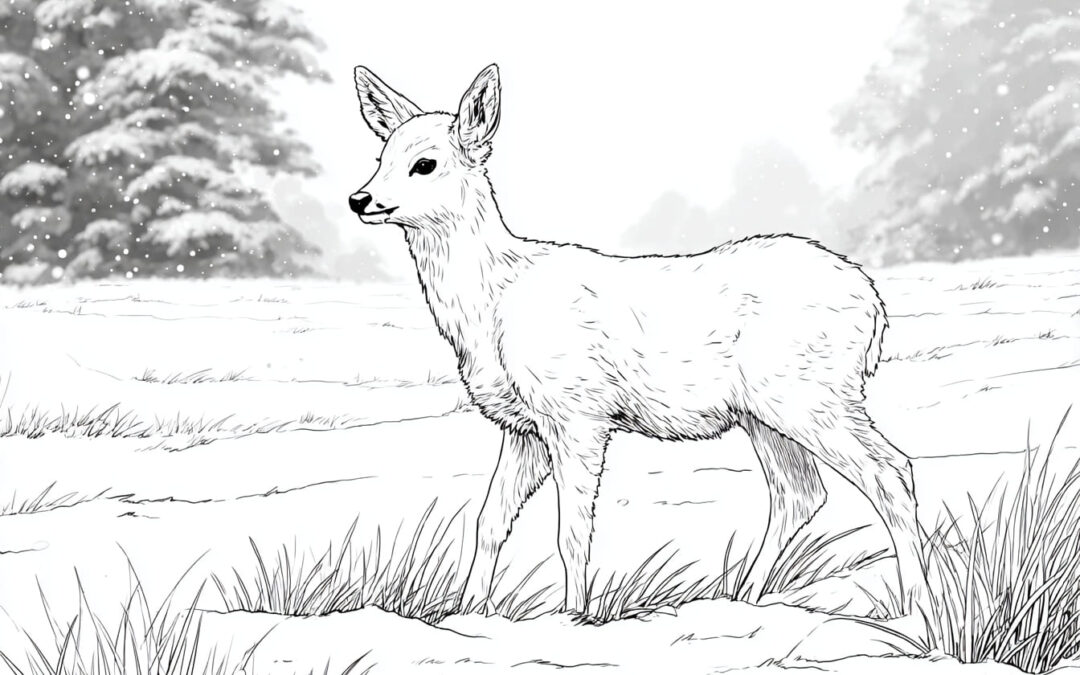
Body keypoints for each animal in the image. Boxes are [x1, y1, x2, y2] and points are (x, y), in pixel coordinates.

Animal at [348, 63, 929, 618]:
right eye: (380, 155)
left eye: (425, 164)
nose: (360, 199)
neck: (494, 304)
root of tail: (874, 306)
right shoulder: (523, 428)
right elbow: (489, 521)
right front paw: (467, 611)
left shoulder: (577, 413)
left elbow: (572, 533)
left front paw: (574, 616)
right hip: (765, 411)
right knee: (801, 492)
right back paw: (744, 598)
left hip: (811, 393)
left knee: (888, 470)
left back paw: (917, 609)